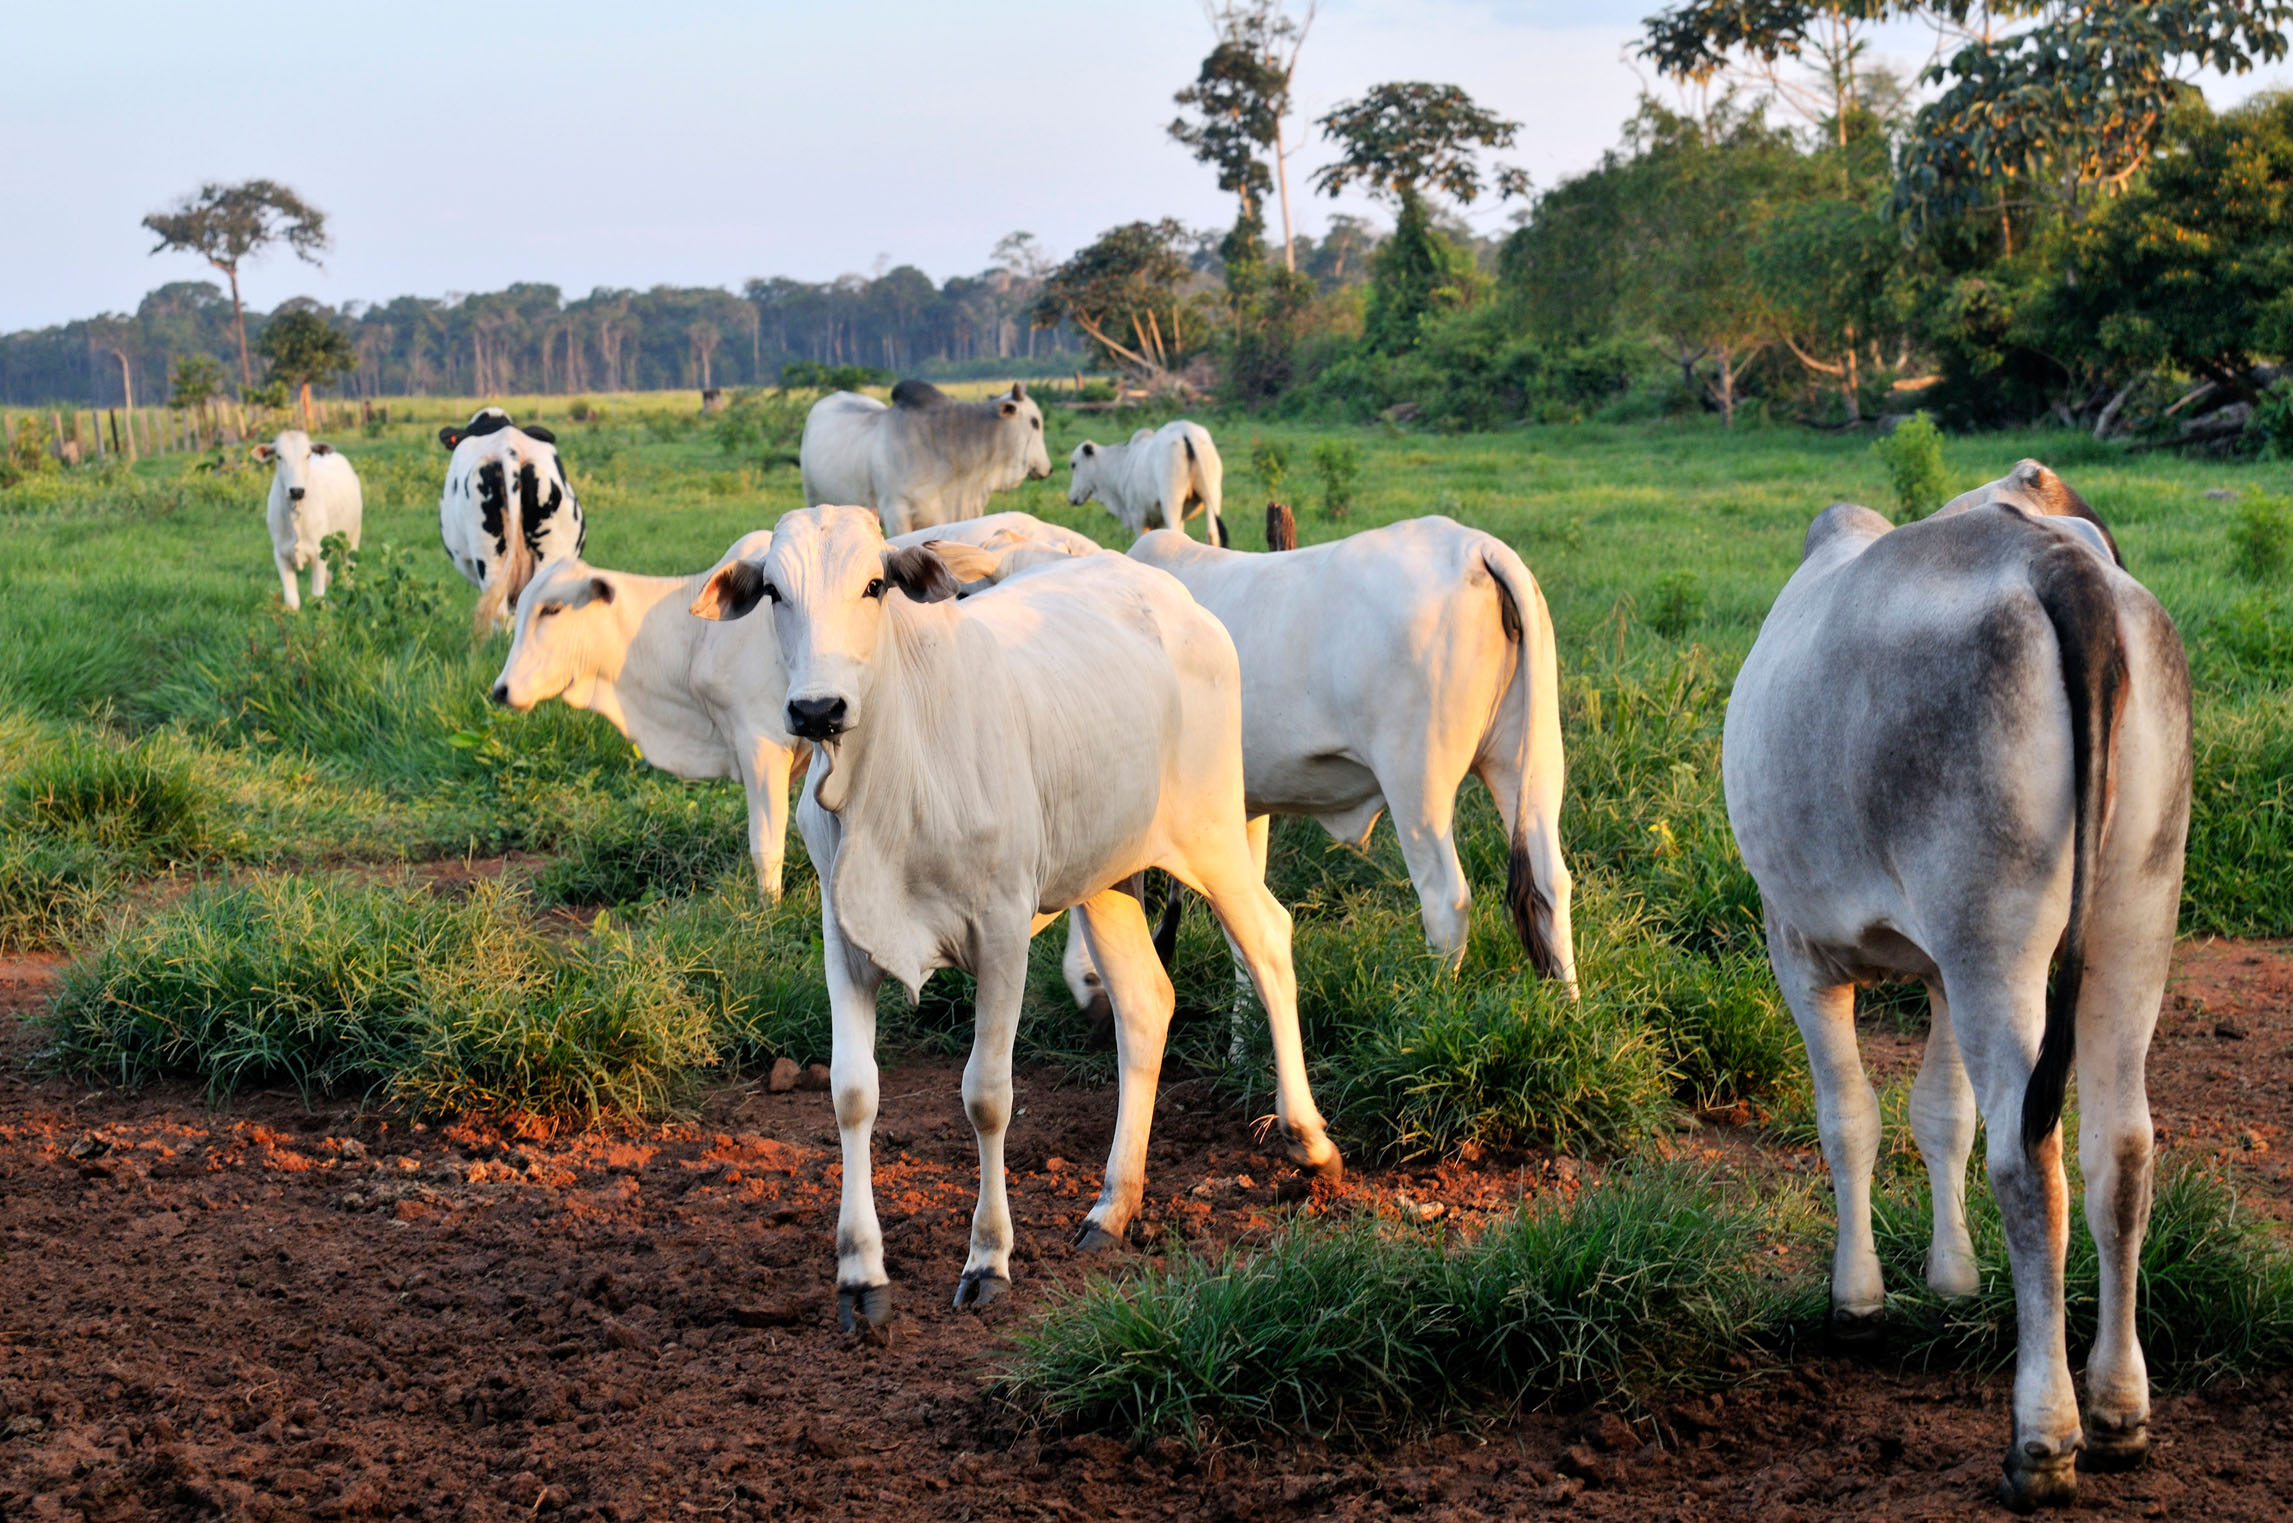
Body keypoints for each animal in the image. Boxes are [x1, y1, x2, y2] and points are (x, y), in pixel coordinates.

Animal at [253, 428, 360, 614]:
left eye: (307, 455)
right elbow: (292, 601)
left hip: (352, 538)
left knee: (348, 571)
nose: (296, 491)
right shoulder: (280, 554)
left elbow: (317, 598)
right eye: (279, 456)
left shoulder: (319, 553)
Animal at [692, 504, 1339, 1330]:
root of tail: (1167, 595)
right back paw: (1111, 1206)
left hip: (1214, 833)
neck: (892, 774)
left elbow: (987, 1097)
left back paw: (1308, 1138)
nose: (815, 708)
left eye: (873, 584)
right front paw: (860, 1274)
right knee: (1145, 1004)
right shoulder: (846, 939)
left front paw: (988, 1259)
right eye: (774, 590)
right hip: (1105, 878)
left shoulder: (1001, 932)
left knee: (1268, 943)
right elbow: (851, 1092)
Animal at [1063, 422, 1229, 548]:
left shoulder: (1138, 516)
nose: (1071, 498)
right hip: (1212, 497)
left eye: (1073, 464)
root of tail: (1185, 431)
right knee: (1212, 535)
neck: (1121, 464)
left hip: (1171, 501)